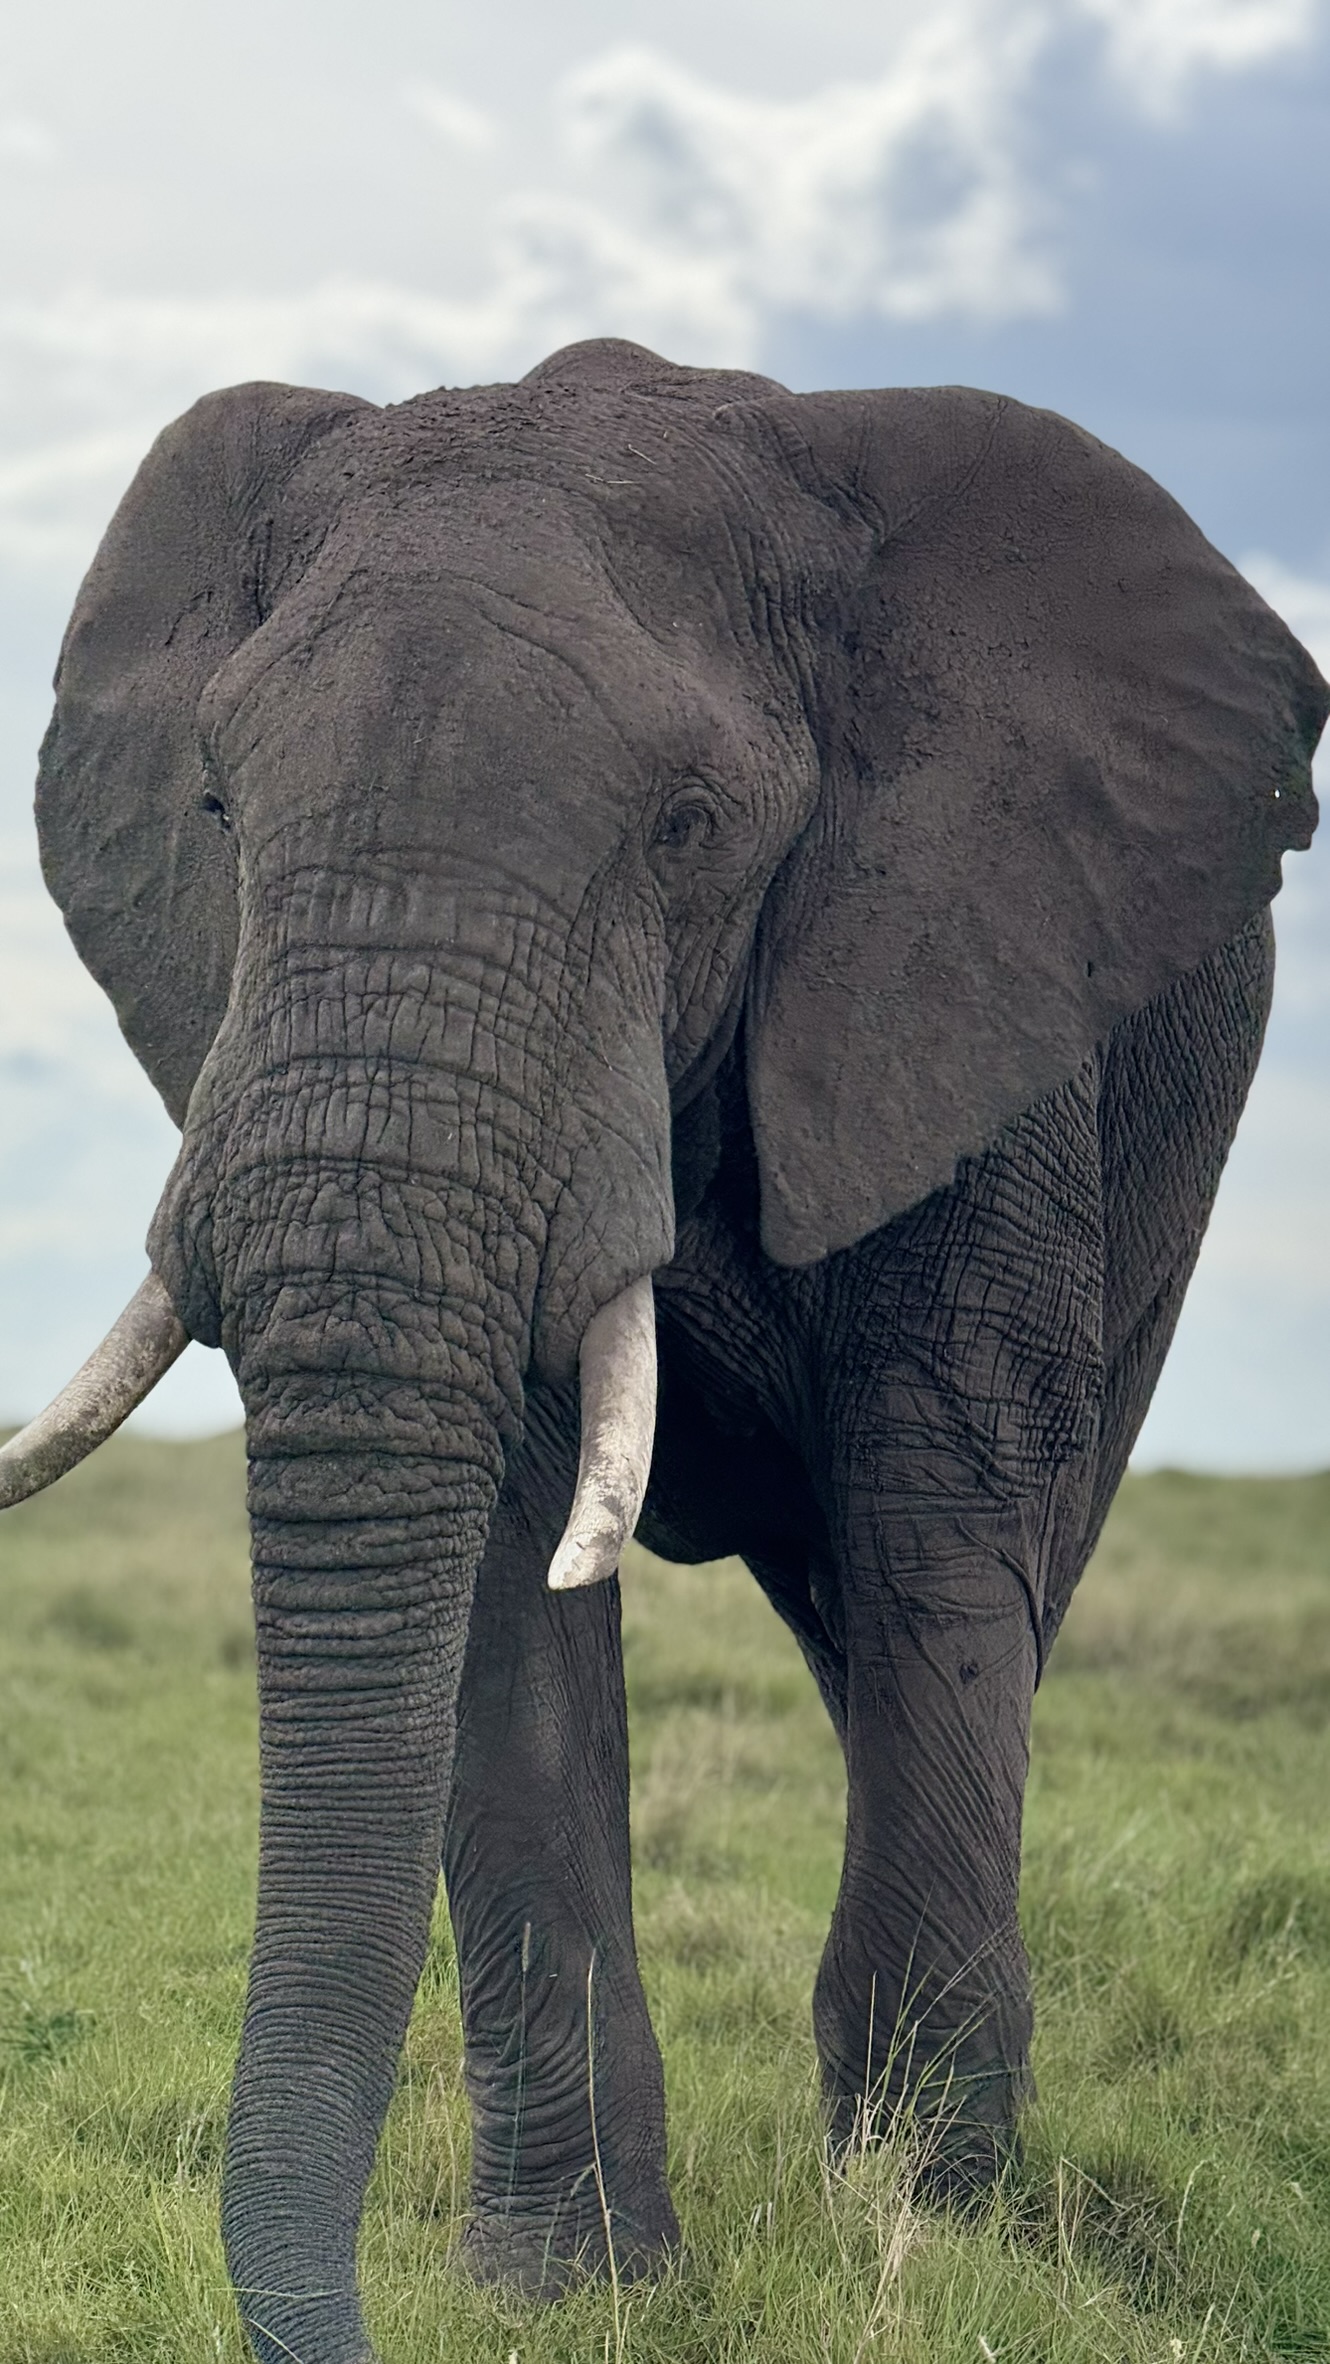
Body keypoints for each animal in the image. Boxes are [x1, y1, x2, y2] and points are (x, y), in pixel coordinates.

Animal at [1, 336, 1325, 2364]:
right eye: (218, 810)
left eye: (689, 830)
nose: (336, 2325)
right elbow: (508, 1571)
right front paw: (574, 2286)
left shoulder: (956, 969)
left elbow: (936, 1506)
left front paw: (925, 2250)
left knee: (960, 1599)